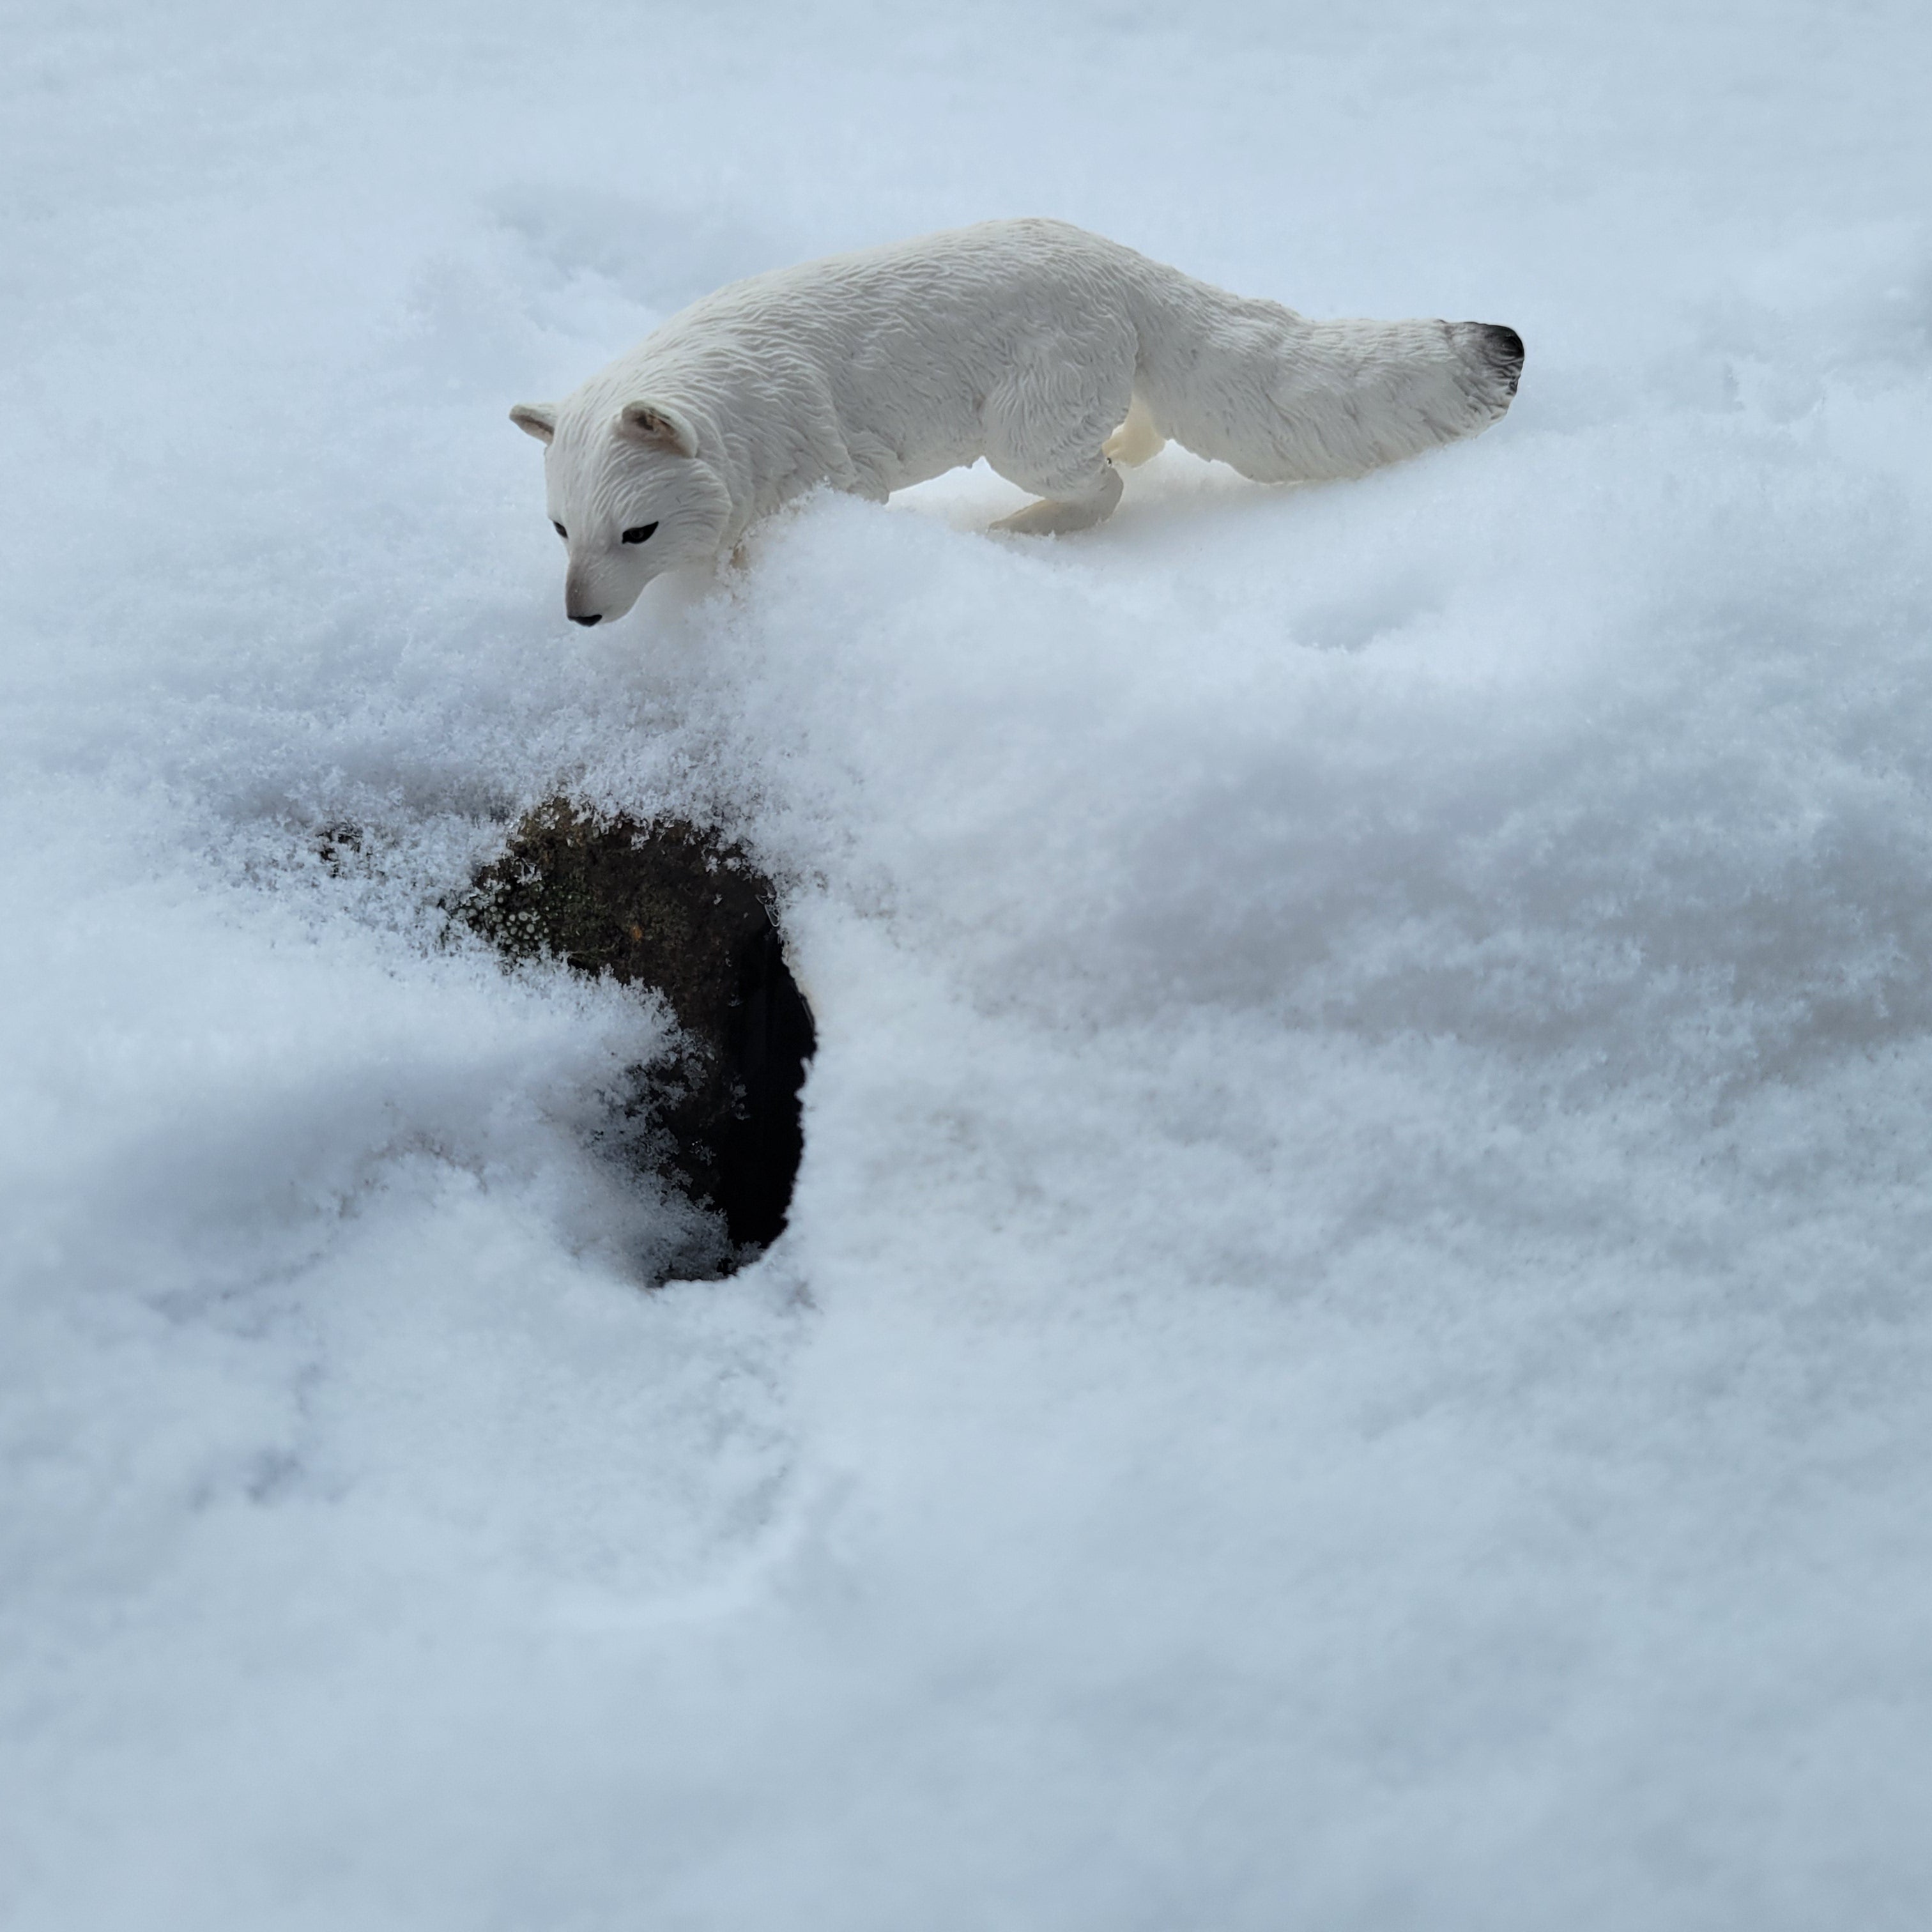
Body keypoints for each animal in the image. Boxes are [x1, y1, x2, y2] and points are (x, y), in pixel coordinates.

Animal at [509, 218, 1523, 627]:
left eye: (637, 532)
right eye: (559, 530)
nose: (579, 617)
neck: (742, 404)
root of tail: (1119, 262)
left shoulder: (841, 479)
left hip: (1024, 433)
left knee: (1103, 490)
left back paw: (1021, 532)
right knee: (1141, 437)